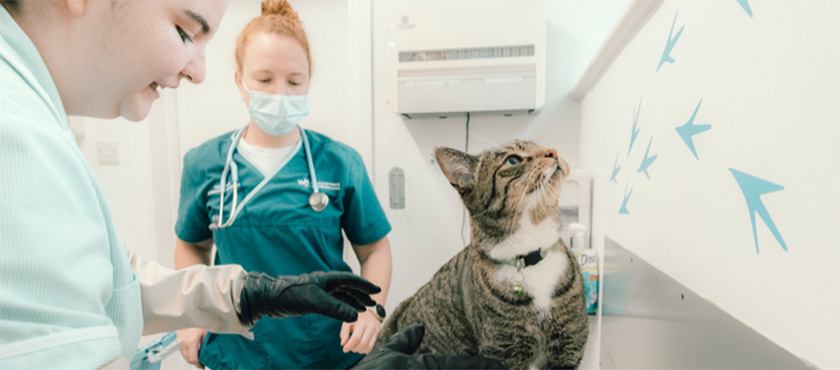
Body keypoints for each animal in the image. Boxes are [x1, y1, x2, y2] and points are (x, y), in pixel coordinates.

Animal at [378, 140, 588, 368]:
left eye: (539, 145)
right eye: (512, 160)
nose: (553, 152)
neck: (528, 258)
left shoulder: (568, 347)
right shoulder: (504, 352)